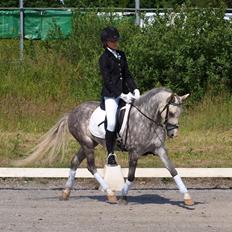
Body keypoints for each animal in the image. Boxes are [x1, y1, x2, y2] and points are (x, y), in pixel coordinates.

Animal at [14, 88, 192, 206]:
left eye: (180, 113)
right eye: (171, 113)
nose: (173, 134)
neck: (148, 119)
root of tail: (72, 112)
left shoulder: (160, 150)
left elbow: (173, 171)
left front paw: (187, 197)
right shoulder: (134, 152)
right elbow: (131, 176)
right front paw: (123, 197)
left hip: (87, 143)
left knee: (75, 162)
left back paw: (66, 193)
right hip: (87, 144)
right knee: (91, 166)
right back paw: (110, 193)